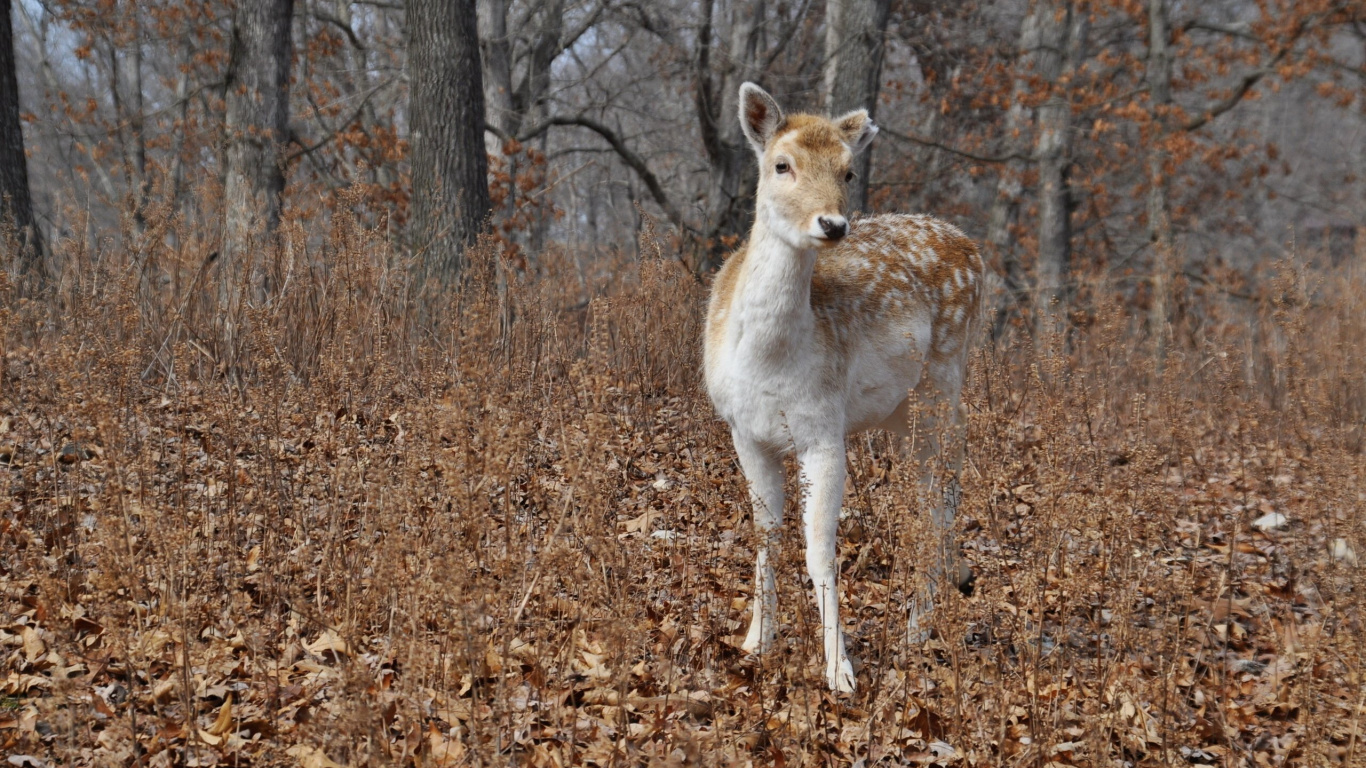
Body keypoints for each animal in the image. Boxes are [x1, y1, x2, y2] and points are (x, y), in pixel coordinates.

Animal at [703, 83, 982, 693]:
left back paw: (918, 628)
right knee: (937, 494)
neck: (770, 364)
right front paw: (756, 641)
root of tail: (973, 247)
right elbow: (765, 535)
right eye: (781, 164)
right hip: (901, 412)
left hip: (944, 381)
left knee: (937, 497)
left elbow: (819, 552)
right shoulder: (745, 433)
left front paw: (840, 671)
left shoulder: (824, 430)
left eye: (849, 170)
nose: (832, 224)